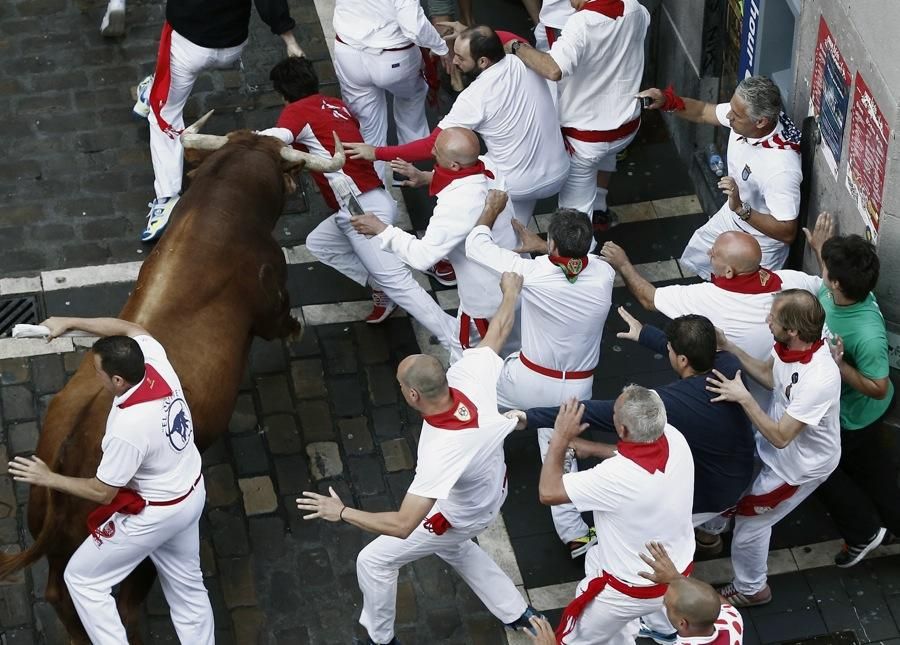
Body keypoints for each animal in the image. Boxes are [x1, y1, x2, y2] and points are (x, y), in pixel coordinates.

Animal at [0, 113, 344, 640]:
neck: (221, 209)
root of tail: (65, 453)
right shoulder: (272, 299)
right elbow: (283, 322)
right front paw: (298, 331)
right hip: (131, 555)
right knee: (121, 604)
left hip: (58, 544)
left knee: (60, 593)